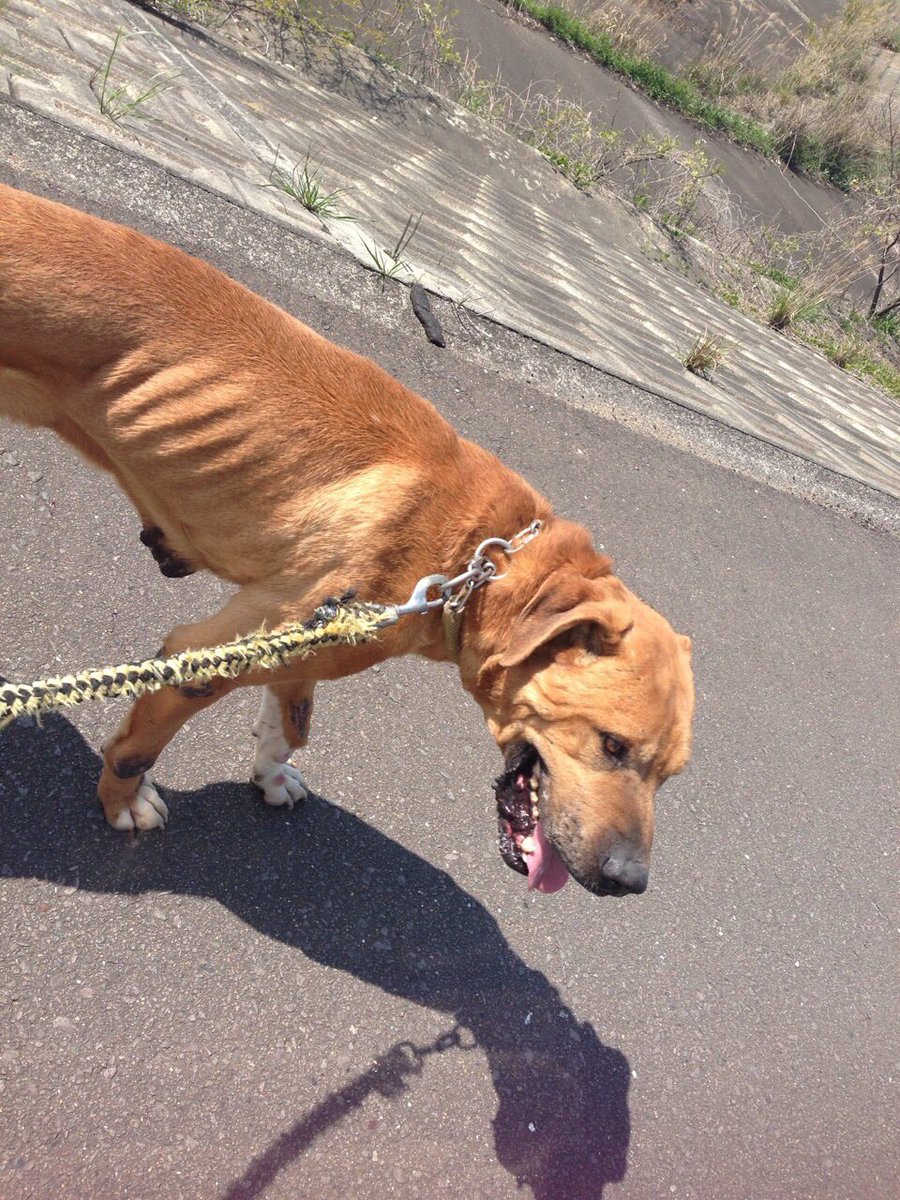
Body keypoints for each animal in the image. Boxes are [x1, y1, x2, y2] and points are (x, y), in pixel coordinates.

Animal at [0, 184, 696, 892]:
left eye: (670, 777)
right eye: (611, 745)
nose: (628, 879)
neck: (482, 557)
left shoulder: (308, 637)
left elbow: (294, 718)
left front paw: (271, 775)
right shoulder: (206, 656)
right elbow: (138, 748)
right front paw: (122, 803)